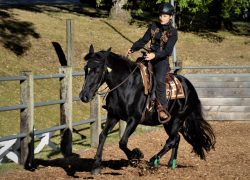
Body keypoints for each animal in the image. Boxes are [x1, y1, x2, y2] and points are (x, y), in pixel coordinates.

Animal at [79, 45, 215, 174]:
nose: (84, 96)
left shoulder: (134, 119)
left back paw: (152, 161)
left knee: (172, 140)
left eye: (97, 70)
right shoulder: (113, 116)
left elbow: (122, 142)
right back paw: (171, 163)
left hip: (177, 120)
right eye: (86, 69)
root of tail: (189, 86)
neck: (127, 86)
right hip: (170, 122)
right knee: (176, 138)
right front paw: (96, 166)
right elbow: (102, 136)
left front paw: (136, 156)